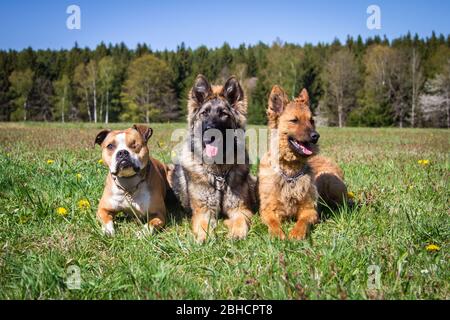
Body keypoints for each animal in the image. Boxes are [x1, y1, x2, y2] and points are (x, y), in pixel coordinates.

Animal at [256, 85, 348, 240]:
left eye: (311, 120)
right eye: (294, 120)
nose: (316, 136)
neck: (290, 171)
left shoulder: (310, 210)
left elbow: (303, 221)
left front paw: (296, 233)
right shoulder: (267, 209)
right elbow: (273, 222)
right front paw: (277, 233)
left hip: (328, 180)